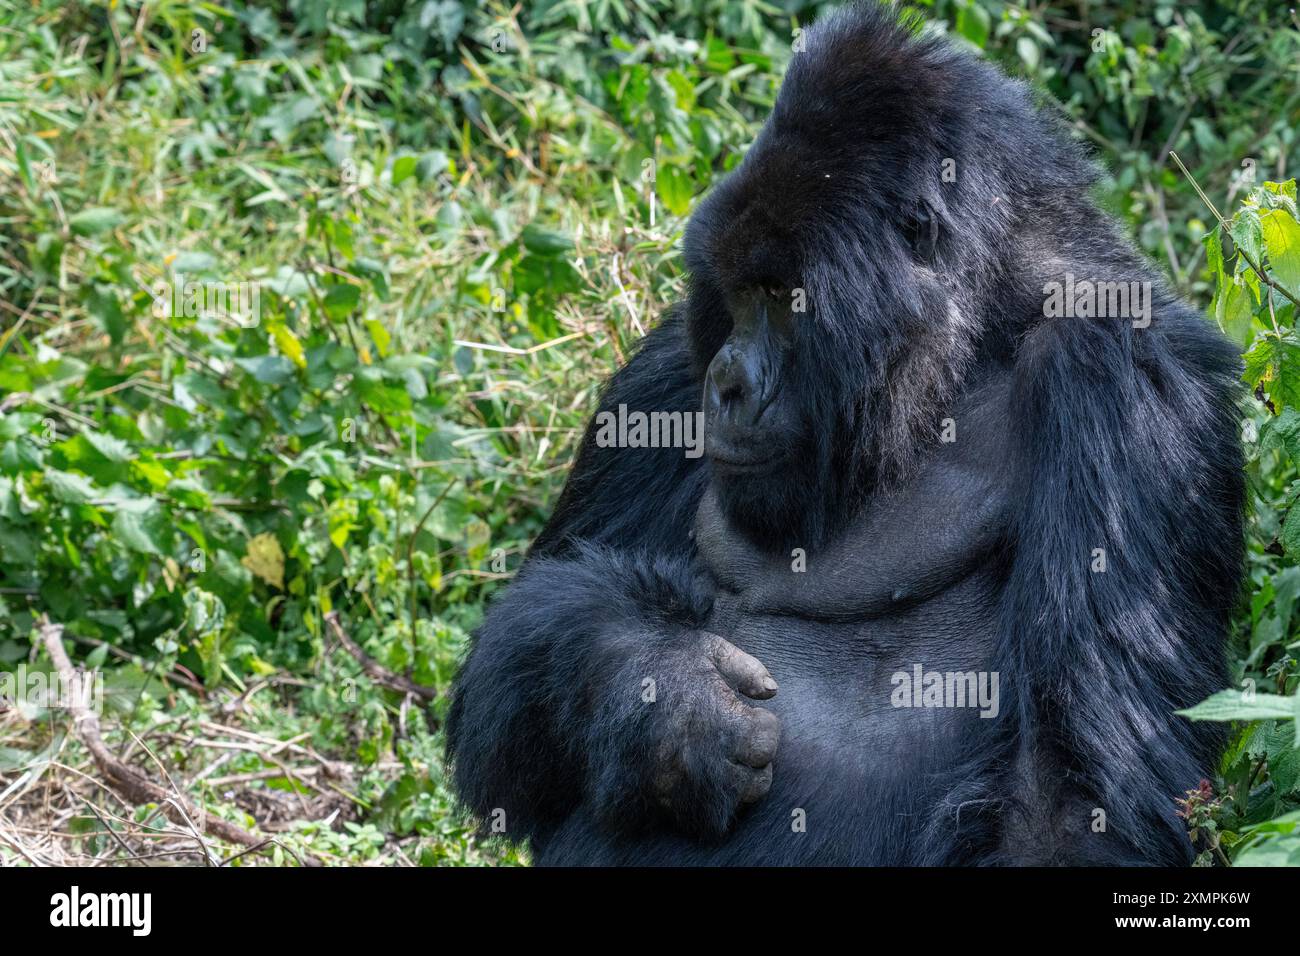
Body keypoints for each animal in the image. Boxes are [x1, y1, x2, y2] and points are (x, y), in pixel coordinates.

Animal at [449, 1, 1248, 868]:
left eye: (780, 294)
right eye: (735, 292)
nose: (725, 382)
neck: (967, 348)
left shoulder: (1123, 375)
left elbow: (1068, 795)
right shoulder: (662, 371)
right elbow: (520, 646)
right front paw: (662, 690)